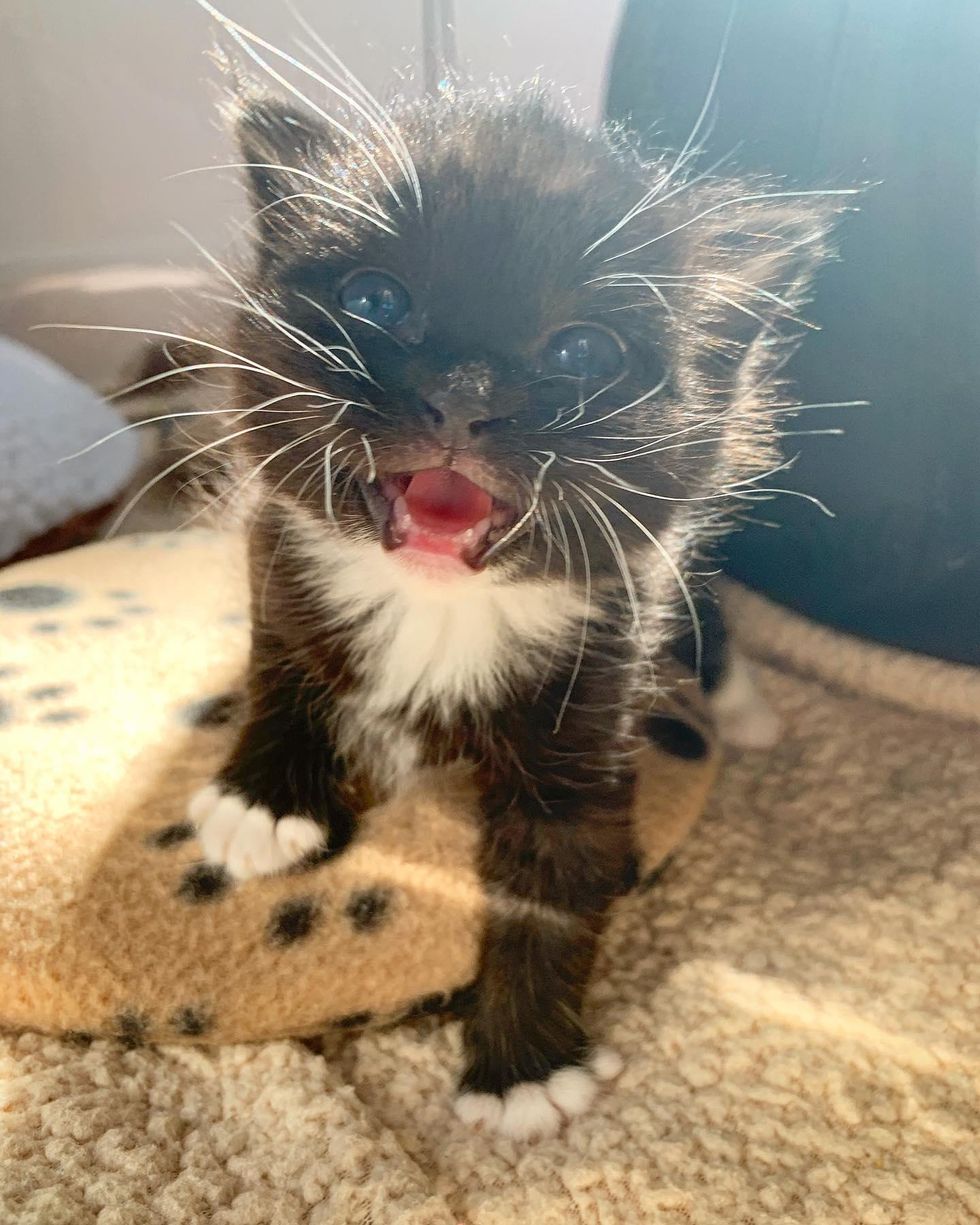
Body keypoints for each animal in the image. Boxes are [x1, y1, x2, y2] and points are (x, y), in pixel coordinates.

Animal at [189, 69, 842, 1136]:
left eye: (582, 352)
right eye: (375, 296)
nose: (462, 394)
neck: (436, 608)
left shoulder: (602, 673)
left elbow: (554, 879)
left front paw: (525, 1070)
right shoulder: (278, 549)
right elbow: (281, 658)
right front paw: (264, 797)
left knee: (711, 617)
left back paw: (746, 711)